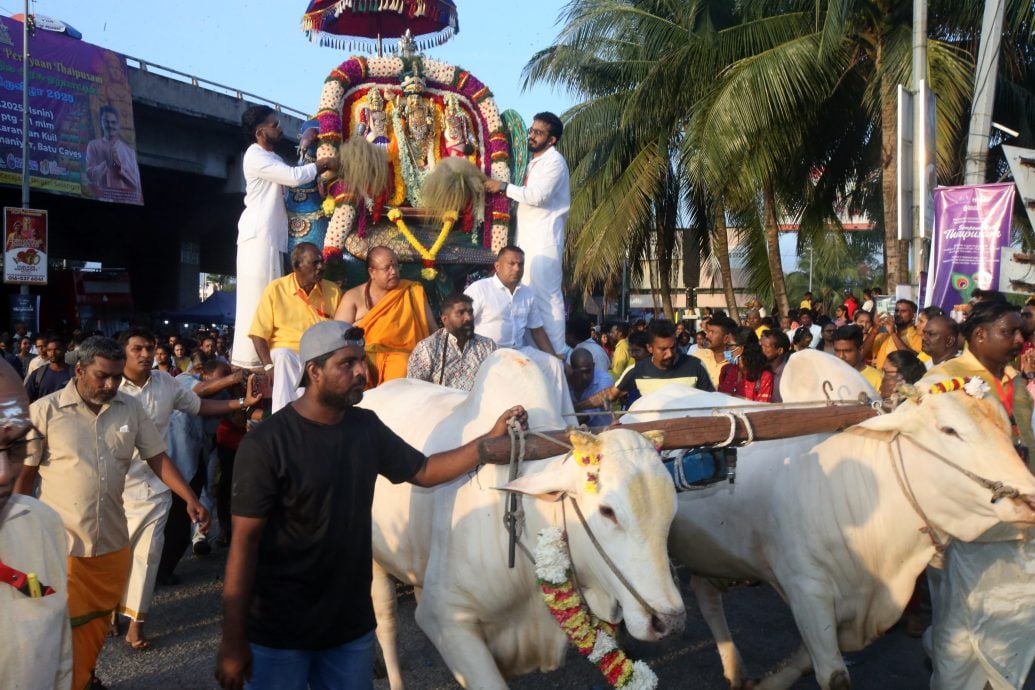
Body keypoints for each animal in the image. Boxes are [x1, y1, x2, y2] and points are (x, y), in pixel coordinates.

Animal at [621, 355, 1035, 690]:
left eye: (1006, 425)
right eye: (949, 430)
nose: (1029, 497)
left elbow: (807, 660)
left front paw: (769, 682)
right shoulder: (807, 588)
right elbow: (832, 674)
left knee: (706, 594)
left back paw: (735, 670)